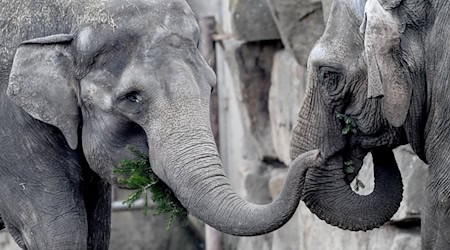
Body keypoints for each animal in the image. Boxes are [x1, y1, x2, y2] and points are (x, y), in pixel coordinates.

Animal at [0, 0, 324, 248]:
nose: (317, 154)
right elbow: (60, 230)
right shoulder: (15, 131)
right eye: (132, 98)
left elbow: (97, 228)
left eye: (211, 87)